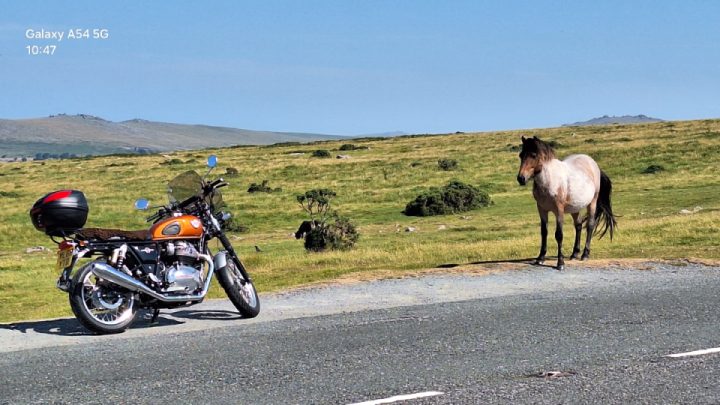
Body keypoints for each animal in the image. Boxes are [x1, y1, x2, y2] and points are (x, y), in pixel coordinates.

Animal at [516, 136, 617, 270]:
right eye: (521, 155)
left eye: (533, 155)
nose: (521, 178)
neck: (550, 180)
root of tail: (594, 164)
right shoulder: (542, 209)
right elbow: (544, 232)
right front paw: (540, 258)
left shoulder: (559, 210)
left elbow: (559, 235)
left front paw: (560, 263)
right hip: (575, 208)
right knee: (578, 226)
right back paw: (574, 253)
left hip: (592, 203)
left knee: (590, 225)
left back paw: (585, 255)